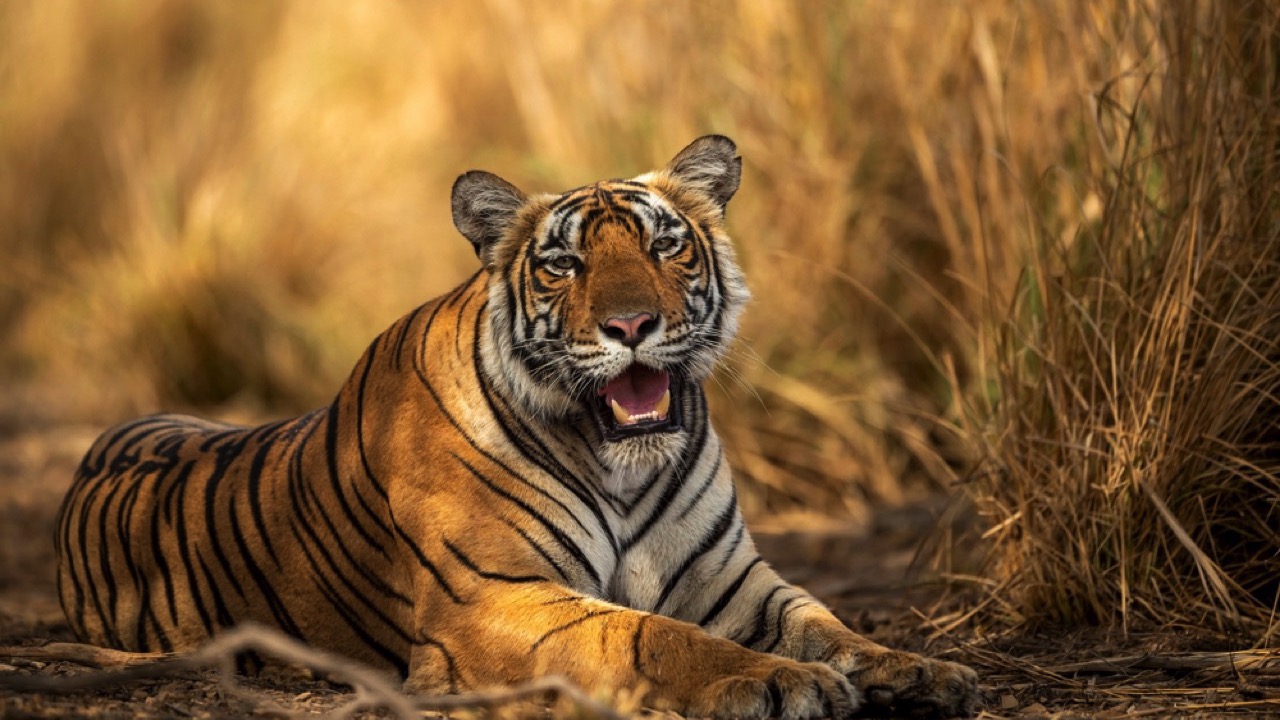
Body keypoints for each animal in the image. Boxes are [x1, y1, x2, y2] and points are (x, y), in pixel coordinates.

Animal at [55, 135, 977, 717]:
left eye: (665, 247)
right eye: (564, 263)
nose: (632, 325)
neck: (621, 462)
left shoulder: (731, 579)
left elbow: (823, 623)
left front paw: (922, 669)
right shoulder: (494, 596)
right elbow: (652, 636)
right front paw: (783, 683)